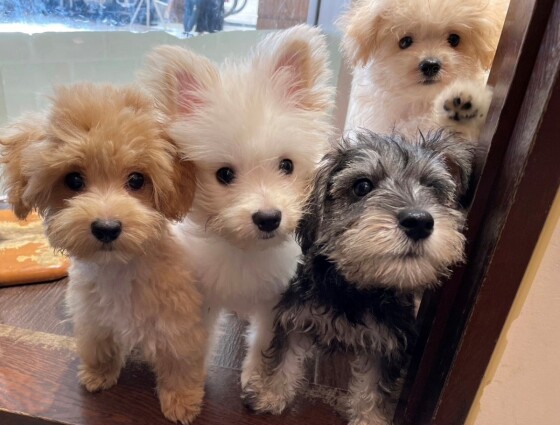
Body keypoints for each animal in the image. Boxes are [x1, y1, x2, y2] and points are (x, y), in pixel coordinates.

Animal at [0, 83, 206, 424]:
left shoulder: (177, 322)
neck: (119, 267)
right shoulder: (91, 316)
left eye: (137, 180)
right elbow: (99, 344)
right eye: (73, 179)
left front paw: (181, 400)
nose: (107, 227)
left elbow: (179, 362)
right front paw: (99, 374)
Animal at [138, 25, 335, 390]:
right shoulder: (199, 294)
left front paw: (256, 376)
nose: (268, 218)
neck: (244, 250)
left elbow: (264, 338)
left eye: (287, 165)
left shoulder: (275, 300)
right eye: (224, 174)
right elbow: (198, 337)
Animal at [242, 130, 474, 425]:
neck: (356, 288)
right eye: (362, 186)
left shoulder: (388, 341)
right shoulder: (296, 317)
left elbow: (374, 385)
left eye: (432, 187)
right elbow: (284, 358)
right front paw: (270, 394)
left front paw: (370, 418)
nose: (419, 221)